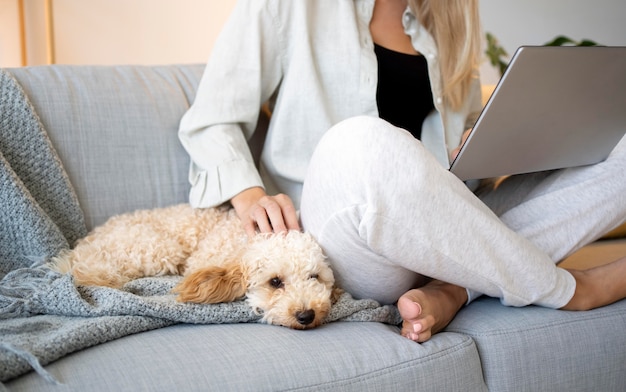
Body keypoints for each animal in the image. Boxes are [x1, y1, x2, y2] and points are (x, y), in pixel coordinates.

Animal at [52, 204, 336, 330]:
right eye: (275, 282)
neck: (242, 240)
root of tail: (79, 254)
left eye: (314, 277)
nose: (306, 315)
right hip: (160, 249)